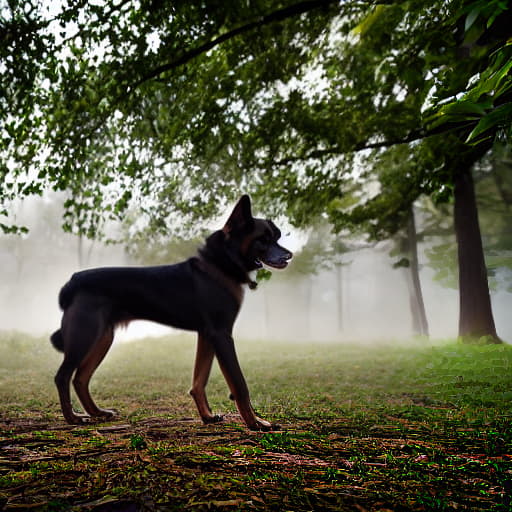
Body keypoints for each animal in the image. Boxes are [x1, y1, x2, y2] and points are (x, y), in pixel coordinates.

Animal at [52, 194, 294, 430]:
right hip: (84, 336)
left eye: (276, 237)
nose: (289, 255)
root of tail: (71, 283)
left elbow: (199, 380)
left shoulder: (207, 335)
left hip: (102, 338)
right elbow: (239, 384)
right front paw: (255, 423)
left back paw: (97, 413)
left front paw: (207, 416)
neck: (220, 265)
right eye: (263, 239)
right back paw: (72, 418)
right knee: (63, 376)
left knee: (81, 378)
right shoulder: (221, 334)